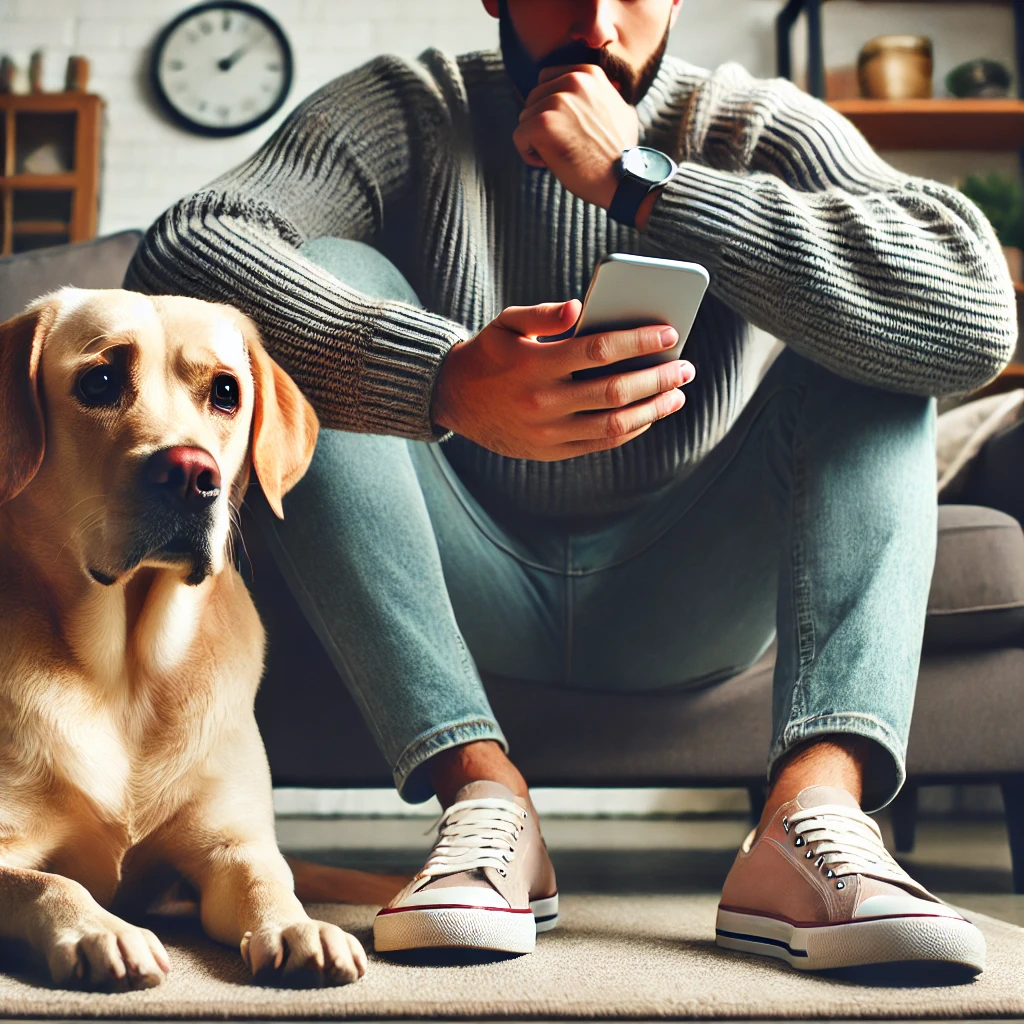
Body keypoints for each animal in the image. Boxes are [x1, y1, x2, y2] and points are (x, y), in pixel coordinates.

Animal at [2, 284, 401, 987]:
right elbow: (46, 882)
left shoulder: (231, 844)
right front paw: (101, 931)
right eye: (100, 380)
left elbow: (269, 879)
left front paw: (299, 928)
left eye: (225, 392)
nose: (193, 473)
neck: (129, 666)